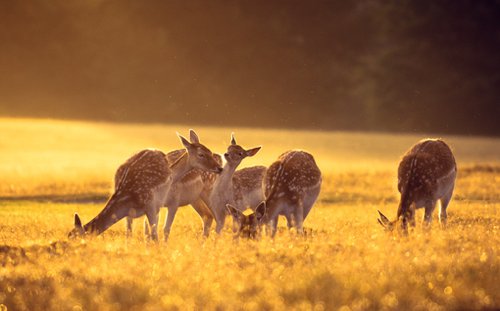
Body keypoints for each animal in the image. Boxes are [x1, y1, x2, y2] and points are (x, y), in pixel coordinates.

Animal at [67, 129, 223, 241]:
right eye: (69, 236)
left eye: (77, 239)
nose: (219, 168)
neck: (127, 198)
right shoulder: (133, 214)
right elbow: (133, 234)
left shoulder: (156, 205)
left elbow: (156, 235)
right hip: (195, 200)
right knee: (208, 216)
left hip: (208, 194)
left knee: (219, 217)